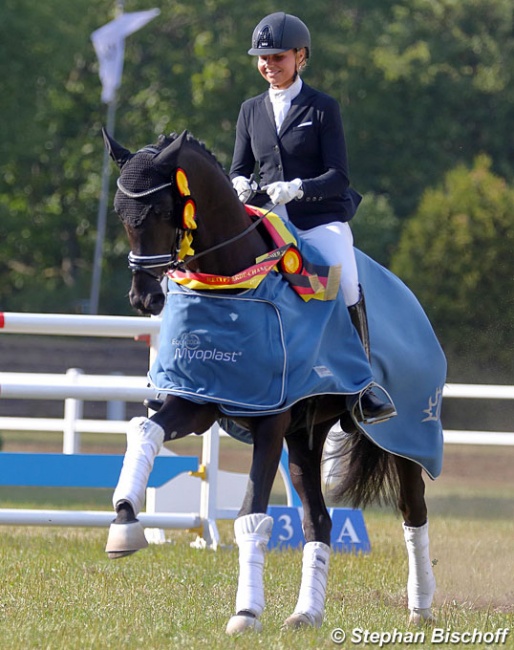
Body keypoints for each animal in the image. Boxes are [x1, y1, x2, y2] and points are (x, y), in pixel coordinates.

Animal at [102, 129, 442, 632]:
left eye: (163, 211)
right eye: (120, 214)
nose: (144, 298)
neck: (234, 278)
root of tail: (413, 303)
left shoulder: (270, 418)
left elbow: (251, 516)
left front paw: (246, 612)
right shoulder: (201, 399)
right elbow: (145, 429)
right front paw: (125, 519)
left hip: (403, 434)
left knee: (413, 511)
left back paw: (420, 607)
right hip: (305, 438)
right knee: (318, 520)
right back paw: (307, 612)